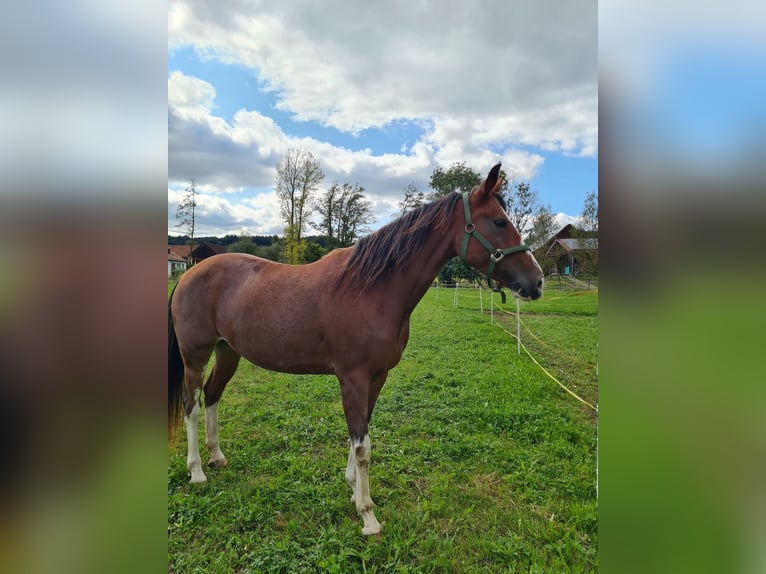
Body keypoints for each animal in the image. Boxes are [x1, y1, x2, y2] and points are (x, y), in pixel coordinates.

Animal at [170, 162, 544, 536]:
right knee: (192, 405)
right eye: (498, 222)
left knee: (213, 395)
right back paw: (197, 471)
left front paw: (352, 488)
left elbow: (360, 435)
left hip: (228, 352)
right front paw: (367, 515)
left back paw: (217, 457)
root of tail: (189, 274)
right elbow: (363, 445)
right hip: (195, 356)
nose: (536, 282)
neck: (371, 289)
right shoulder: (353, 378)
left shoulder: (376, 377)